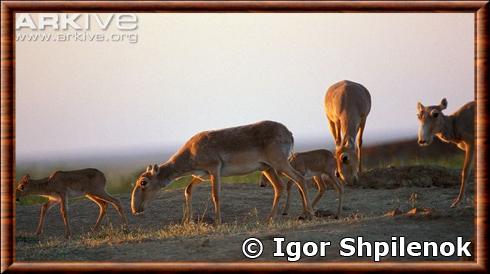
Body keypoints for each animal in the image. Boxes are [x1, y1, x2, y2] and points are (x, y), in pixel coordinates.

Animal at [130, 121, 314, 224]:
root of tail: (289, 132)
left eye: (143, 182)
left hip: (279, 163)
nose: (134, 208)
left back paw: (309, 215)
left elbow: (215, 195)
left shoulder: (214, 170)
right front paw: (188, 220)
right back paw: (271, 218)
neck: (191, 151)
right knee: (280, 187)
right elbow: (188, 190)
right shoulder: (201, 175)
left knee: (299, 178)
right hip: (267, 168)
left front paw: (217, 221)